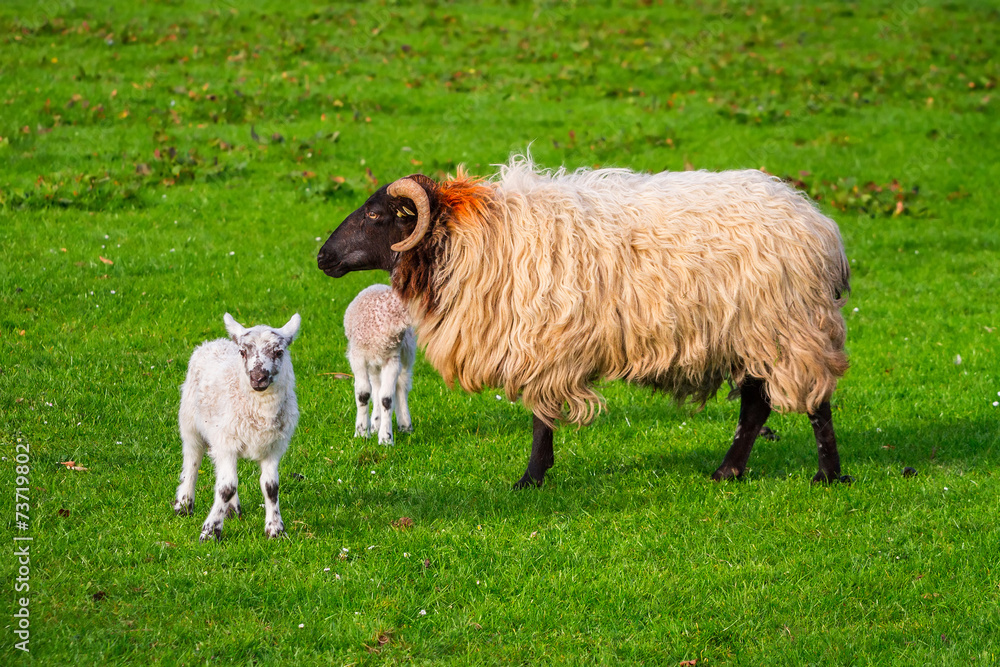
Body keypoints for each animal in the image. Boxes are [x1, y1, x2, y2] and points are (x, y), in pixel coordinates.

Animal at [172, 314, 300, 544]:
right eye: (243, 352)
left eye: (279, 352)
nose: (258, 378)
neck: (261, 411)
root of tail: (215, 341)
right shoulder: (225, 443)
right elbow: (226, 487)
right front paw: (210, 532)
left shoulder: (274, 447)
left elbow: (270, 487)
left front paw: (275, 530)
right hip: (189, 421)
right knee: (192, 461)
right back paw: (184, 505)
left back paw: (232, 510)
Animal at [346, 284, 416, 446]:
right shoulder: (358, 357)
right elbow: (364, 394)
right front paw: (361, 433)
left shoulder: (392, 359)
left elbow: (387, 398)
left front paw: (386, 439)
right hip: (373, 363)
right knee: (376, 387)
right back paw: (374, 425)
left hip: (406, 351)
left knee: (402, 385)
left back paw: (405, 425)